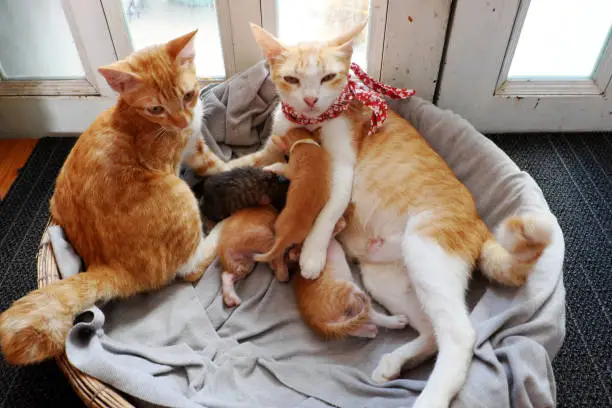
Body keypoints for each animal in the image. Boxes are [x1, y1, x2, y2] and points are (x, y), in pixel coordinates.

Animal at [252, 126, 332, 262]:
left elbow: (279, 166)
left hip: (278, 221)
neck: (304, 142)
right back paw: (294, 253)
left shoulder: (289, 169)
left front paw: (268, 167)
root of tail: (286, 237)